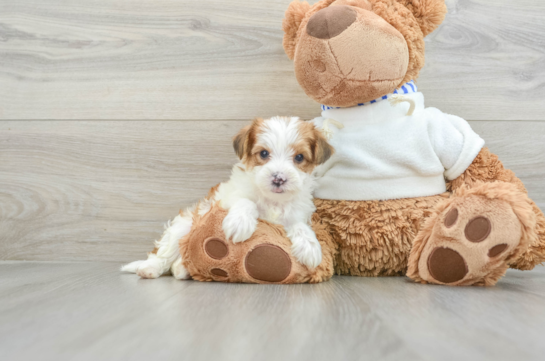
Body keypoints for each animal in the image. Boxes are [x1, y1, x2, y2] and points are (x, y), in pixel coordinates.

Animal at [121, 116, 334, 280]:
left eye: (299, 158)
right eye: (264, 153)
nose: (278, 178)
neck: (272, 200)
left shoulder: (296, 214)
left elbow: (300, 225)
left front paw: (310, 245)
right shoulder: (226, 199)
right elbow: (246, 201)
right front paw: (240, 223)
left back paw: (182, 268)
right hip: (184, 225)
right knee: (166, 250)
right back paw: (151, 268)